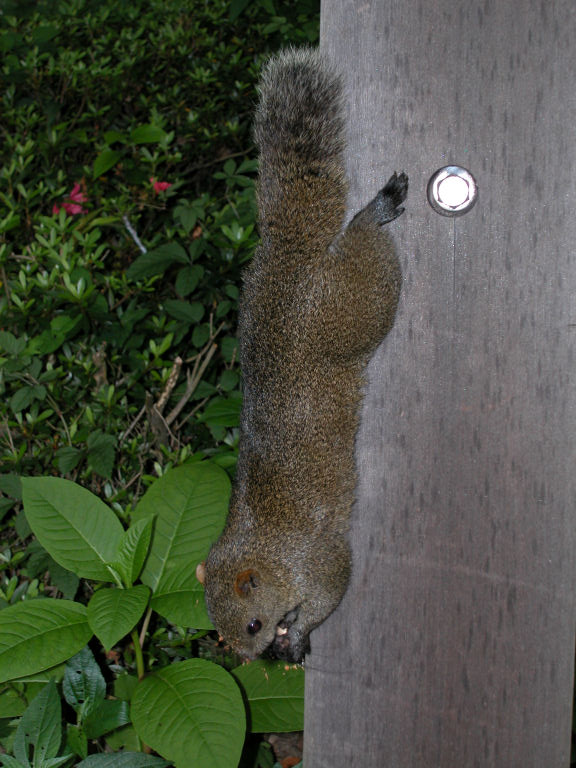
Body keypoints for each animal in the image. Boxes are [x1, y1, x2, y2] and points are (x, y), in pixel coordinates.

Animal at [198, 47, 408, 663]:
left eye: (251, 625)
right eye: (218, 631)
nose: (252, 661)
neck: (263, 547)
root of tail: (288, 254)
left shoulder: (316, 559)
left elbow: (332, 586)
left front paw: (301, 633)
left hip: (356, 305)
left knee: (366, 245)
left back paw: (376, 210)